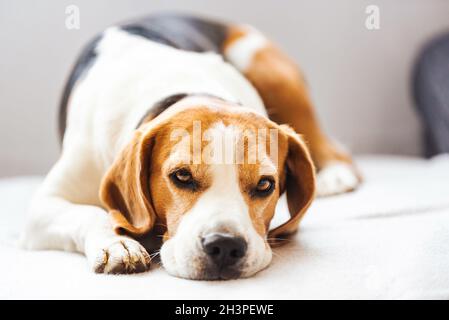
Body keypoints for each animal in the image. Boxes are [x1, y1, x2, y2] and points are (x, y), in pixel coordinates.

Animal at [21, 13, 360, 278]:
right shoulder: (43, 206)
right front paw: (116, 244)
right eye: (181, 176)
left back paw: (335, 174)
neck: (185, 87)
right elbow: (91, 214)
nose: (224, 245)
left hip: (264, 67)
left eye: (265, 184)